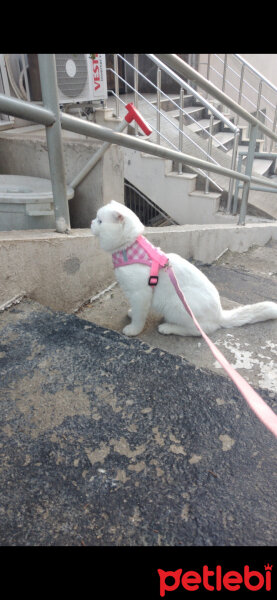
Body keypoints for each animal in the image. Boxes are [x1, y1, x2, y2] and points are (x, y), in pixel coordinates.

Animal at [90, 200, 276, 338]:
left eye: (100, 221)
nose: (91, 222)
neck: (128, 249)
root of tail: (219, 314)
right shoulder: (139, 295)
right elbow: (137, 311)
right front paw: (131, 313)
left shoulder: (140, 294)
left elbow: (139, 316)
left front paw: (133, 329)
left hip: (176, 304)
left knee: (201, 330)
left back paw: (168, 328)